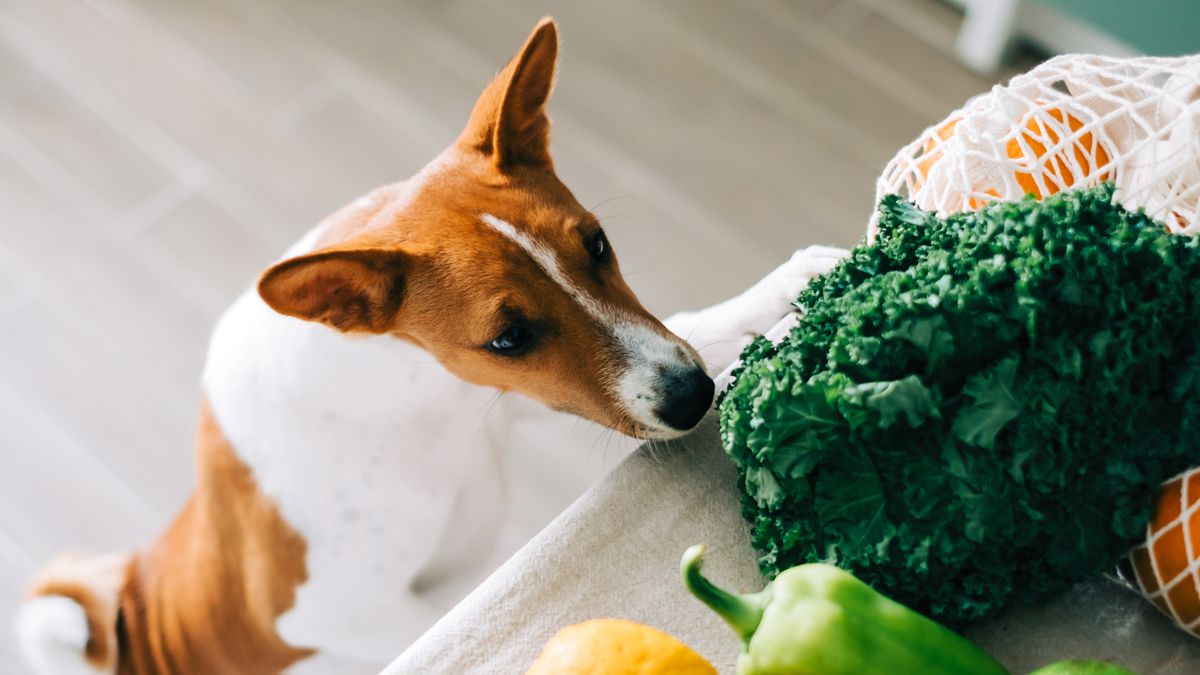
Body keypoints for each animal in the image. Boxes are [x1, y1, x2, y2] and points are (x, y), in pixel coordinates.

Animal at [14, 18, 849, 667]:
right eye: (508, 337)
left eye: (599, 244)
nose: (692, 396)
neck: (413, 405)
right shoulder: (332, 614)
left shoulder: (519, 398)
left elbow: (697, 323)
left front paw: (796, 282)